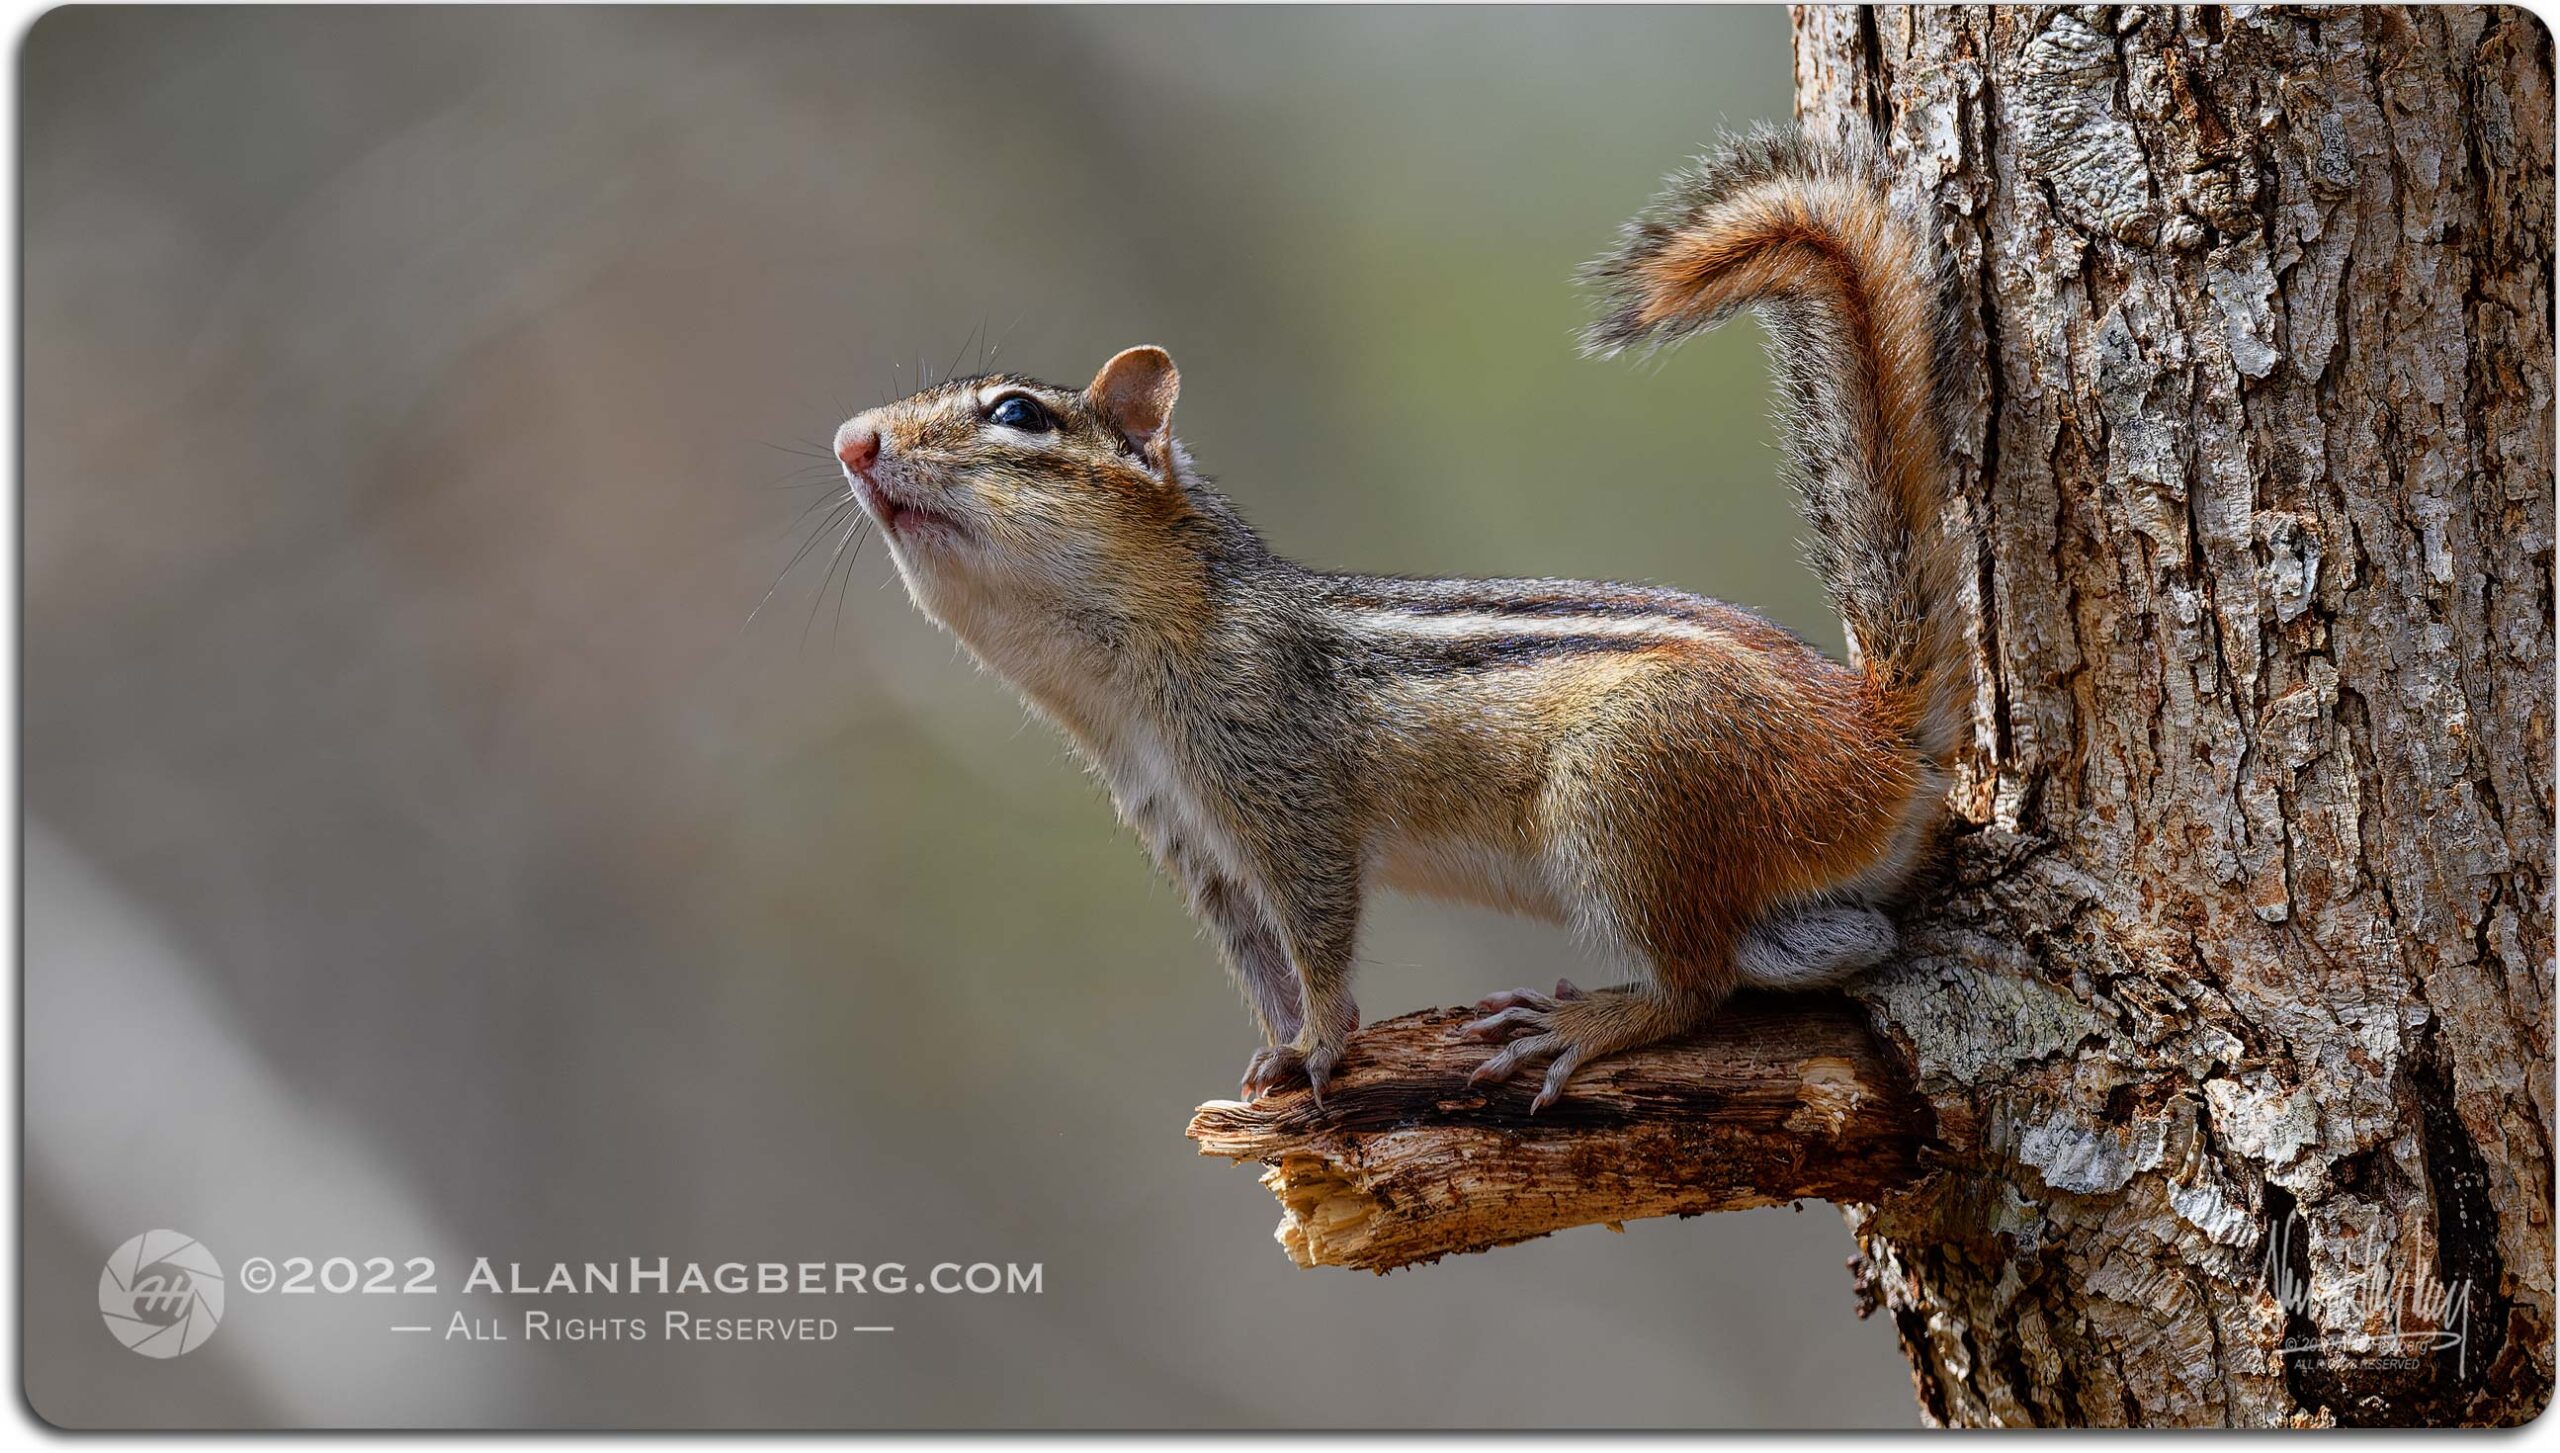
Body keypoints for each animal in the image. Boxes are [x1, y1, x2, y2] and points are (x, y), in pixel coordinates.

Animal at [831, 128, 1968, 1111]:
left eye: (1017, 414)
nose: (850, 438)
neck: (1129, 668)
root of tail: (1874, 734)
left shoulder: (1287, 790)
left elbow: (1319, 929)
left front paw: (1318, 1045)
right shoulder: (1192, 841)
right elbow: (1258, 959)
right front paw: (1274, 1053)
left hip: (1625, 783)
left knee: (1695, 981)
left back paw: (1584, 1023)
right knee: (1829, 943)